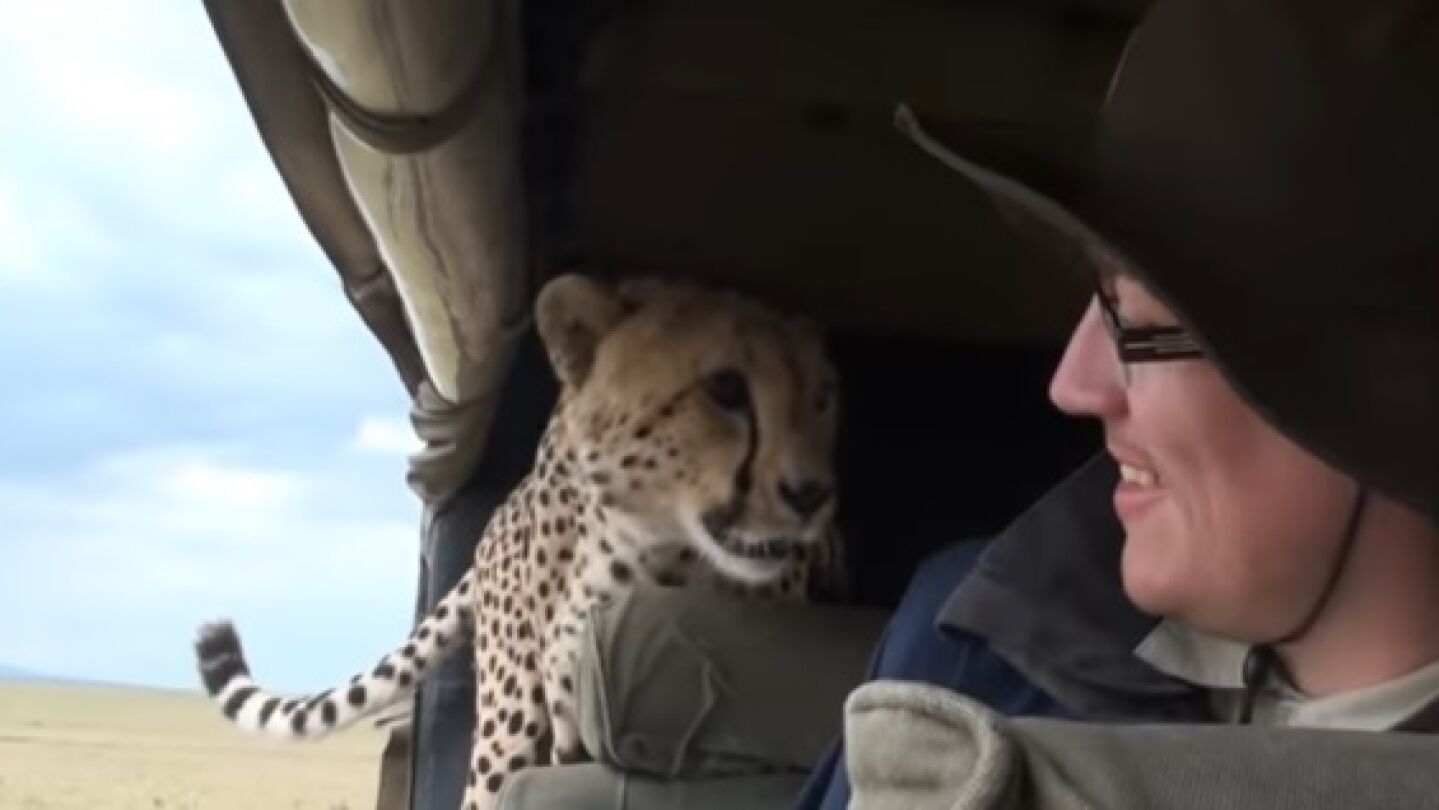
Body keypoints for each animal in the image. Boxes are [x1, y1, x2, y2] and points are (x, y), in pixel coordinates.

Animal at [192, 272, 846, 810]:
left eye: (822, 399)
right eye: (726, 388)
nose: (813, 494)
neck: (674, 559)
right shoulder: (569, 726)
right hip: (509, 720)